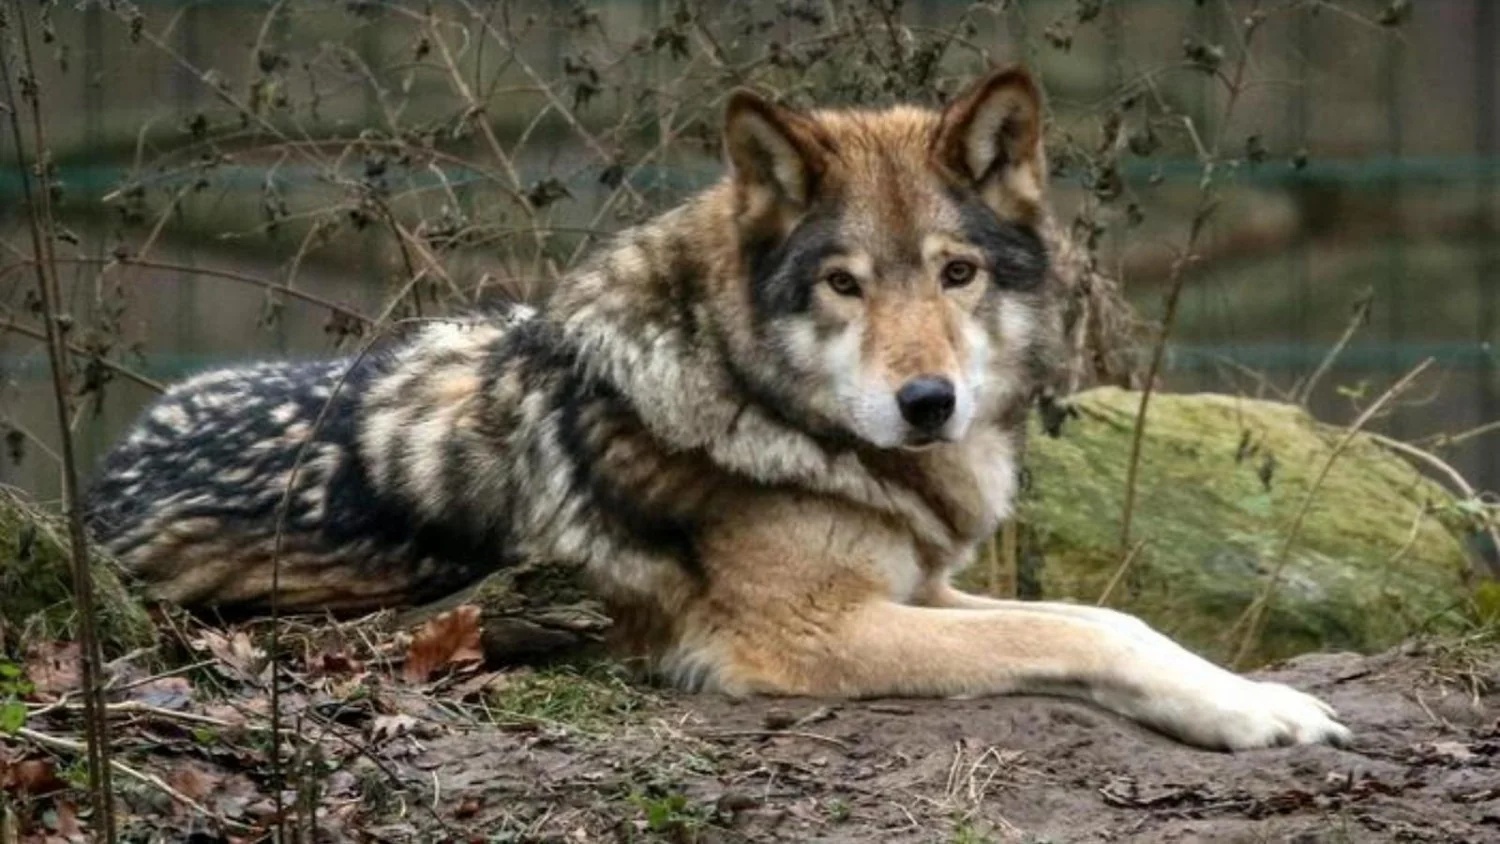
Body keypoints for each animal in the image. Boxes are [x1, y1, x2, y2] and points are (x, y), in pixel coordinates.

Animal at [85, 65, 1349, 751]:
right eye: (843, 282)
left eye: (956, 273)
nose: (927, 402)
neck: (763, 402)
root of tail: (108, 474)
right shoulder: (813, 632)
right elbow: (1085, 628)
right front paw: (1257, 713)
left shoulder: (920, 586)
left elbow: (1100, 615)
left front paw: (1253, 696)